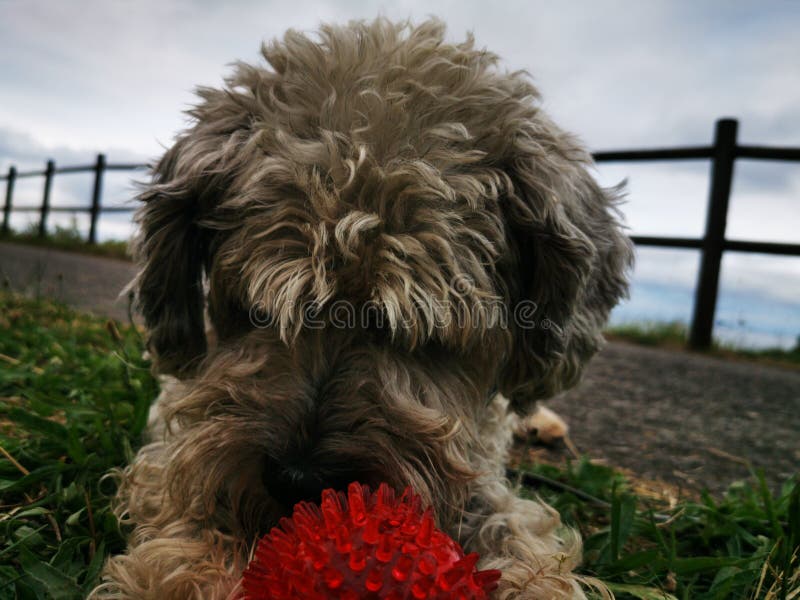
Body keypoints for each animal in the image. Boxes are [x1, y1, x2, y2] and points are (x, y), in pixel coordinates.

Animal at [92, 18, 632, 600]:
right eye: (254, 310)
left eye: (426, 337)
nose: (296, 480)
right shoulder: (176, 427)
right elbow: (179, 483)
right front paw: (189, 569)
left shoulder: (477, 467)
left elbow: (510, 524)